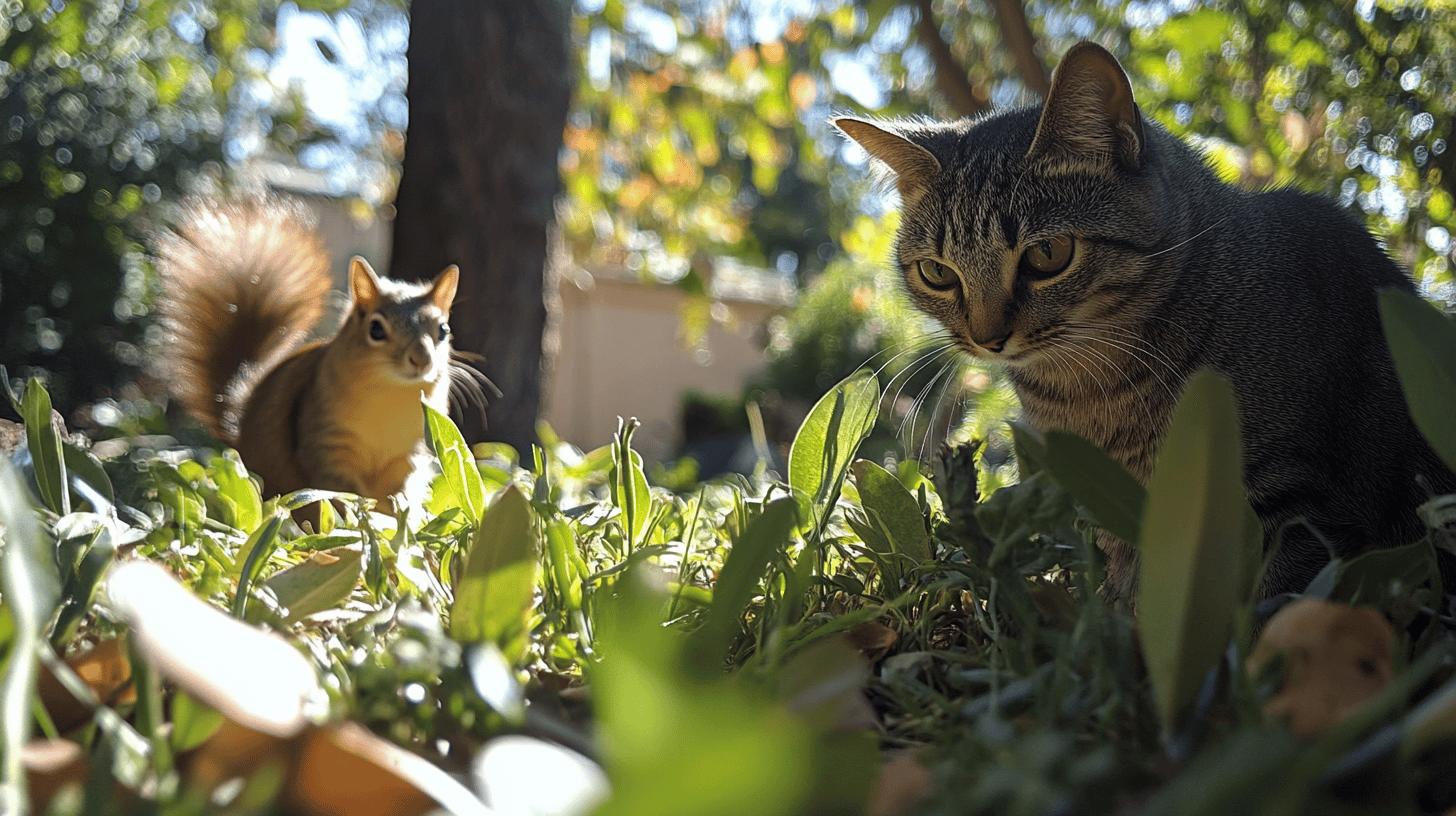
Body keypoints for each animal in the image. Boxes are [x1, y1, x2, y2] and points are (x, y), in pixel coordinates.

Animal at [153, 198, 488, 506]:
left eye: (443, 329)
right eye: (376, 330)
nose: (421, 359)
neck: (391, 394)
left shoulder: (409, 456)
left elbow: (398, 492)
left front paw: (398, 516)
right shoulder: (325, 445)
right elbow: (341, 491)